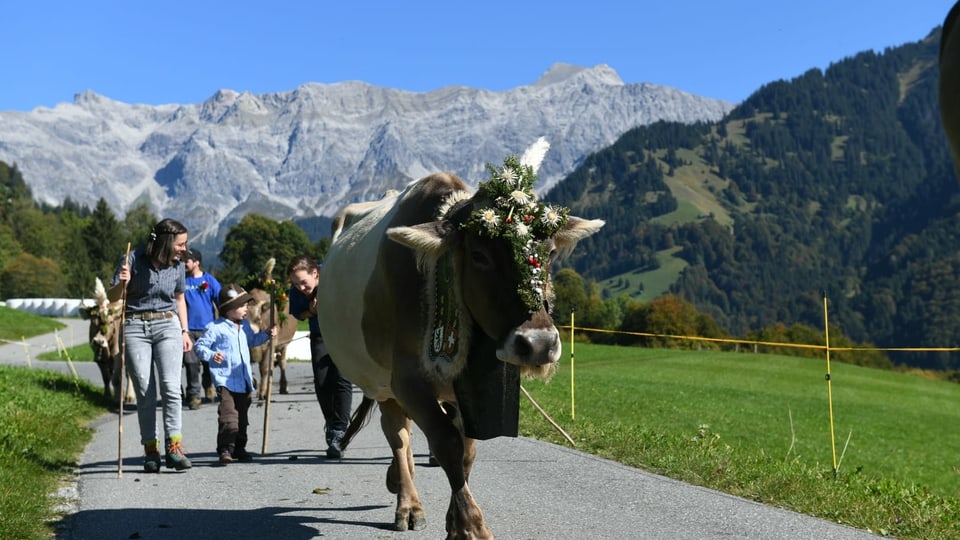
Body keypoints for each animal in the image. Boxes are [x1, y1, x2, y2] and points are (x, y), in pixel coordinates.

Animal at [316, 154, 600, 536]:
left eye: (550, 252)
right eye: (479, 256)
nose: (539, 343)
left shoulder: (470, 392)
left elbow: (467, 452)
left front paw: (454, 521)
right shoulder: (407, 380)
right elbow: (446, 443)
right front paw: (471, 527)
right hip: (380, 380)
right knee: (398, 434)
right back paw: (407, 502)